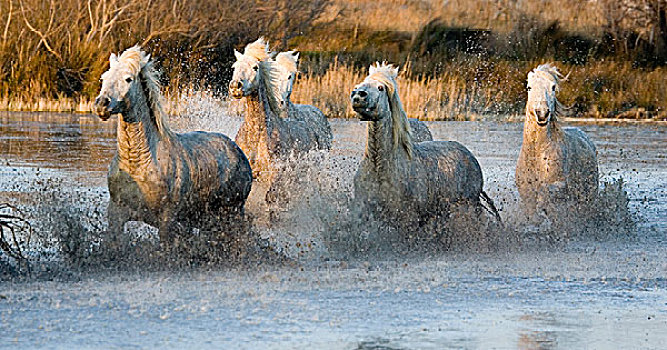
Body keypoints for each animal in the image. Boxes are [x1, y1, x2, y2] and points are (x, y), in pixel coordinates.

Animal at [92, 45, 252, 249]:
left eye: (128, 79)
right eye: (104, 78)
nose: (101, 104)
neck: (139, 163)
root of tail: (238, 151)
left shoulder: (167, 220)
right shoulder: (116, 212)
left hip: (231, 213)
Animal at [352, 63, 498, 232]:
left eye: (380, 88)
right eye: (359, 85)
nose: (358, 95)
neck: (379, 167)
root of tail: (469, 155)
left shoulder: (407, 219)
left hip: (468, 206)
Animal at [516, 63, 600, 219]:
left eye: (553, 87)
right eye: (529, 87)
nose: (542, 114)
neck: (537, 154)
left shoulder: (559, 185)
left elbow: (544, 193)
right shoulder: (526, 194)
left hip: (588, 195)